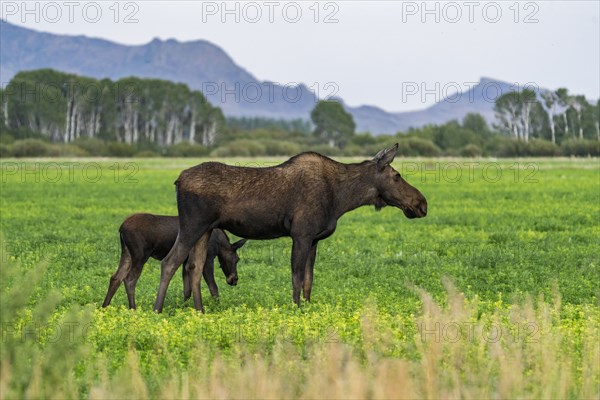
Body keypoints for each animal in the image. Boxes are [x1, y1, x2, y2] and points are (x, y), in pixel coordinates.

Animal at [103, 214, 246, 308]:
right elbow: (213, 287)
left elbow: (187, 289)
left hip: (127, 253)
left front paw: (185, 308)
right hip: (140, 254)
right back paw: (133, 308)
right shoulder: (209, 258)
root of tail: (121, 229)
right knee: (129, 279)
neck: (220, 243)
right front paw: (218, 307)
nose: (234, 280)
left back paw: (104, 307)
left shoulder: (186, 262)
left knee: (115, 277)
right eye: (237, 259)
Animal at [155, 144, 426, 312]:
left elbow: (308, 280)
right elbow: (296, 278)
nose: (421, 204)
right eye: (397, 176)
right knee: (170, 262)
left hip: (205, 230)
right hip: (192, 225)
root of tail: (177, 180)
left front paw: (306, 306)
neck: (342, 199)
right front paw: (296, 309)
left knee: (194, 267)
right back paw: (157, 310)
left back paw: (199, 311)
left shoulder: (315, 239)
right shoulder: (301, 234)